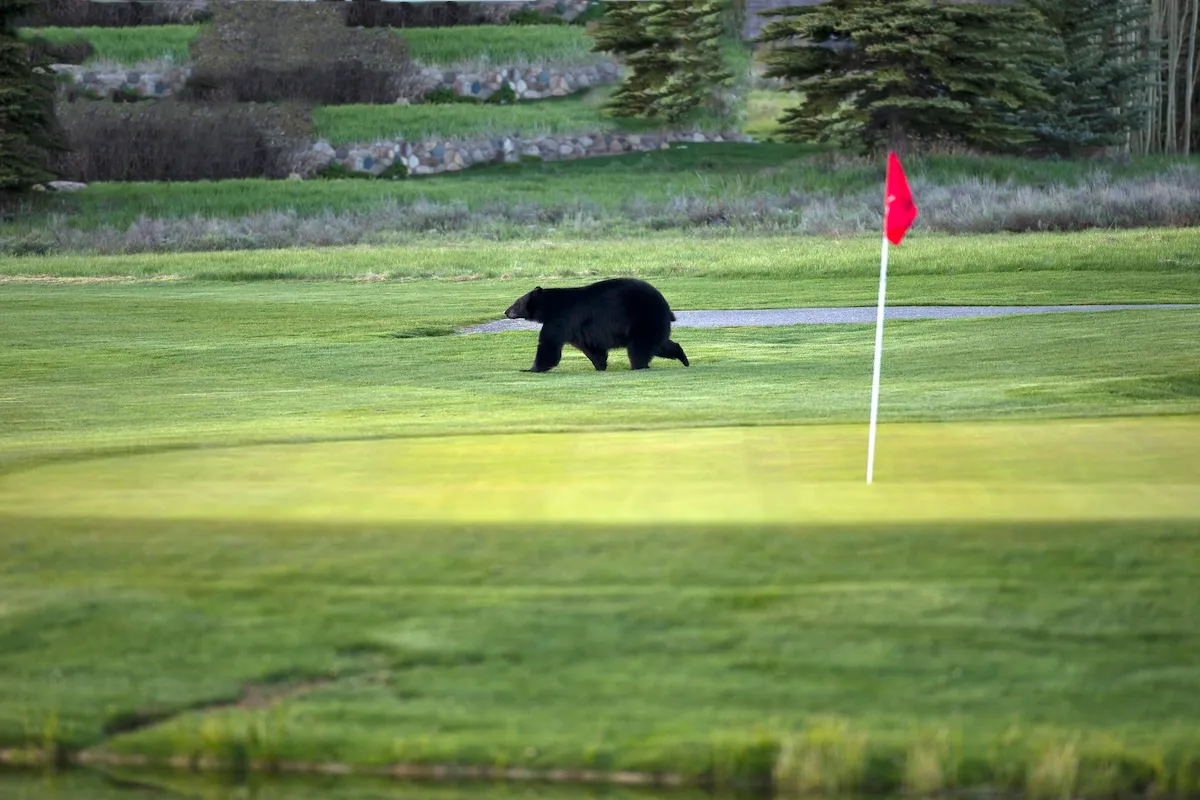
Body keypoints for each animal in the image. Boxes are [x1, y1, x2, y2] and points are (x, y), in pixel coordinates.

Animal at [503, 277, 690, 373]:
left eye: (517, 302)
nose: (506, 311)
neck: (550, 307)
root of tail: (666, 306)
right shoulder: (577, 329)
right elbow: (590, 348)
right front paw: (600, 365)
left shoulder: (560, 320)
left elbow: (548, 346)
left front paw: (530, 369)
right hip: (653, 322)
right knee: (660, 344)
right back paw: (683, 358)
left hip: (642, 318)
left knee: (640, 347)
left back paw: (638, 366)